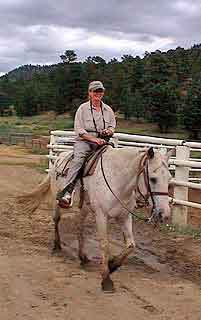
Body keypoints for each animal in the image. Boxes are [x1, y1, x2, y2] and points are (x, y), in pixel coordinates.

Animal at [18, 146, 174, 292]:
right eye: (153, 179)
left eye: (169, 179)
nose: (164, 214)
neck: (117, 180)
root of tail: (60, 157)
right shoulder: (101, 215)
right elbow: (104, 245)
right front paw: (106, 279)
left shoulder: (124, 216)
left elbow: (131, 245)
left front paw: (112, 265)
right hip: (57, 199)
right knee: (56, 219)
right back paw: (57, 247)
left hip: (84, 209)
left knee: (79, 227)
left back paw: (82, 257)